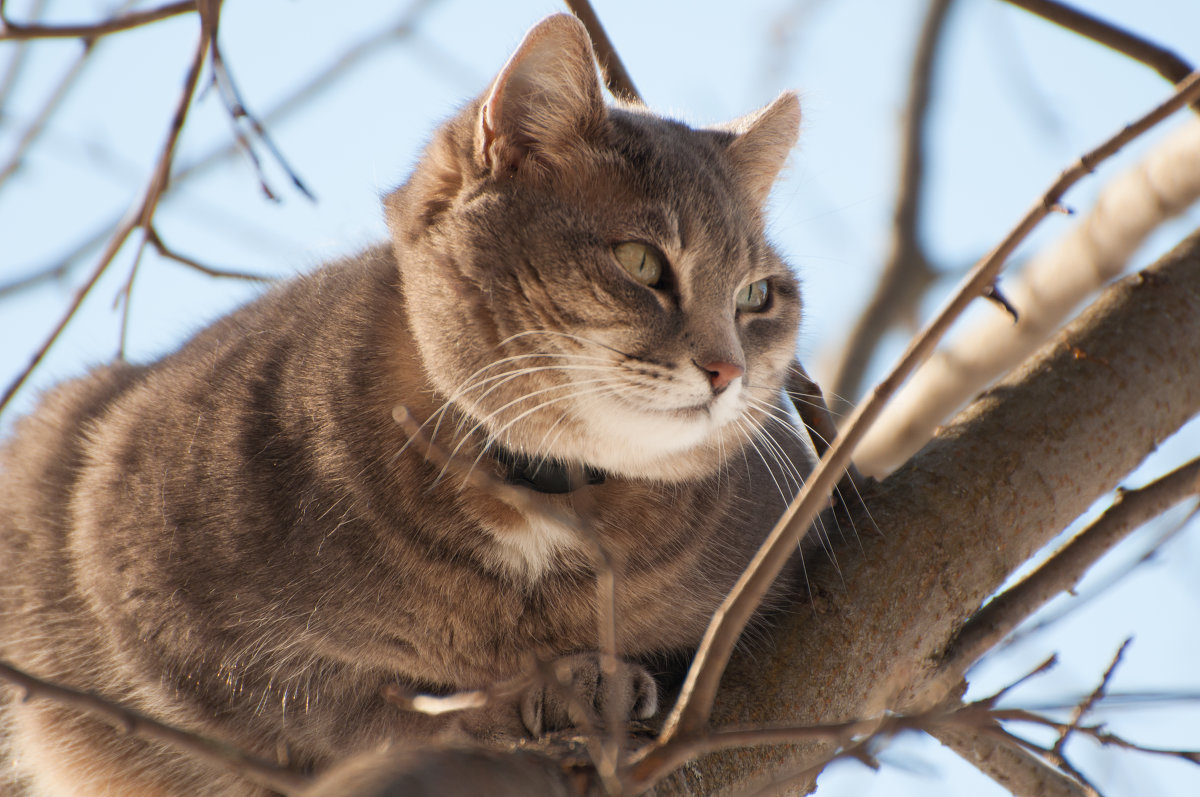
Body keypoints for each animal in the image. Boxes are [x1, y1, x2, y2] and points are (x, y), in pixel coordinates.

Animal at [0, 12, 811, 797]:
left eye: (756, 296)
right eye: (641, 261)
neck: (540, 500)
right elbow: (345, 708)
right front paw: (530, 698)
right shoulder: (150, 594)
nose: (727, 369)